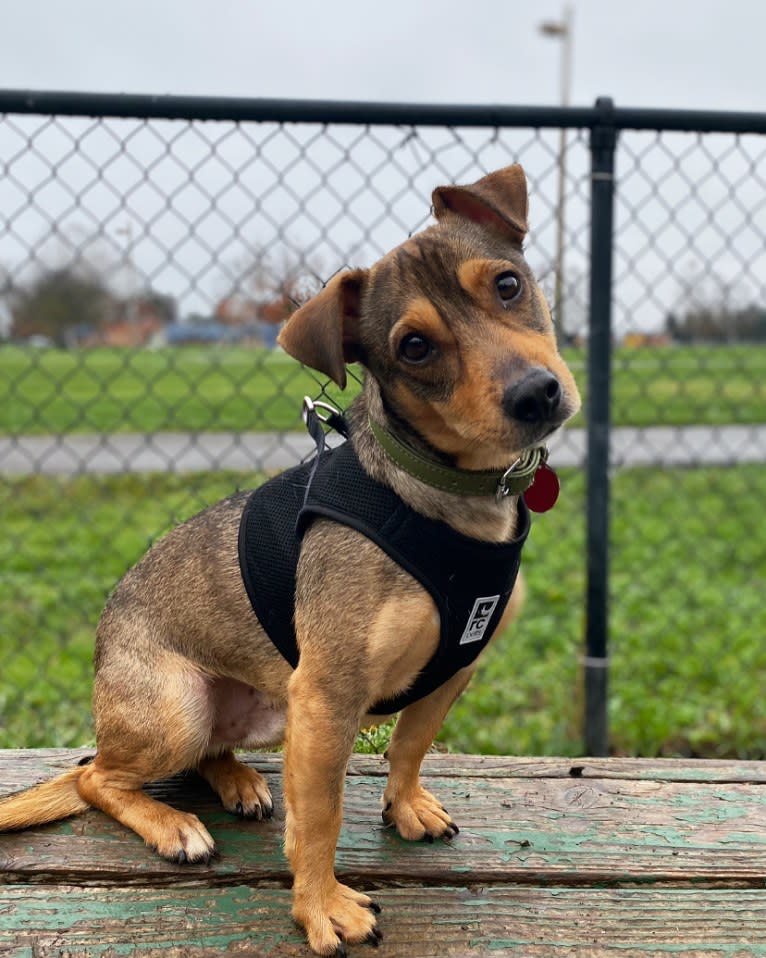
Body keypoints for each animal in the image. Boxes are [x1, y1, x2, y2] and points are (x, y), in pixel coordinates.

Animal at [0, 163, 576, 952]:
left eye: (509, 285)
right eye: (414, 348)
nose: (537, 394)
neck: (445, 492)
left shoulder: (452, 668)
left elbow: (410, 745)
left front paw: (406, 806)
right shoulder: (328, 697)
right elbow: (321, 819)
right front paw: (322, 907)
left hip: (268, 708)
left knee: (202, 753)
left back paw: (239, 782)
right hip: (180, 708)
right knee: (95, 777)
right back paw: (173, 824)